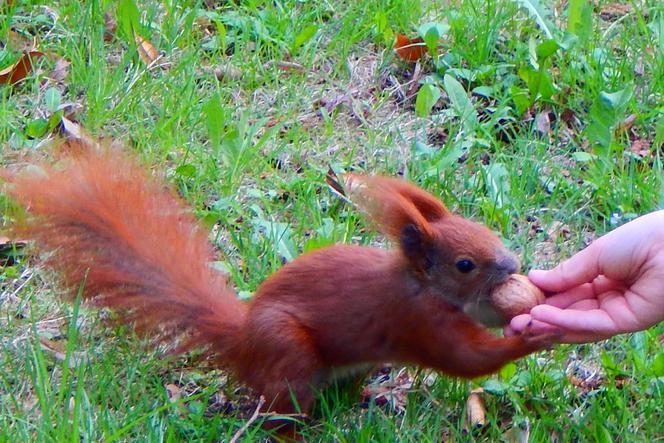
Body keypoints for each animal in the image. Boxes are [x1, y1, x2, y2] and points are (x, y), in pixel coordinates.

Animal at [2, 143, 556, 426]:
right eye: (464, 264)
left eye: (485, 229)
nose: (512, 262)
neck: (421, 285)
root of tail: (243, 342)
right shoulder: (415, 318)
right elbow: (466, 359)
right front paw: (534, 334)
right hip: (288, 352)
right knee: (280, 413)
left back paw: (368, 398)